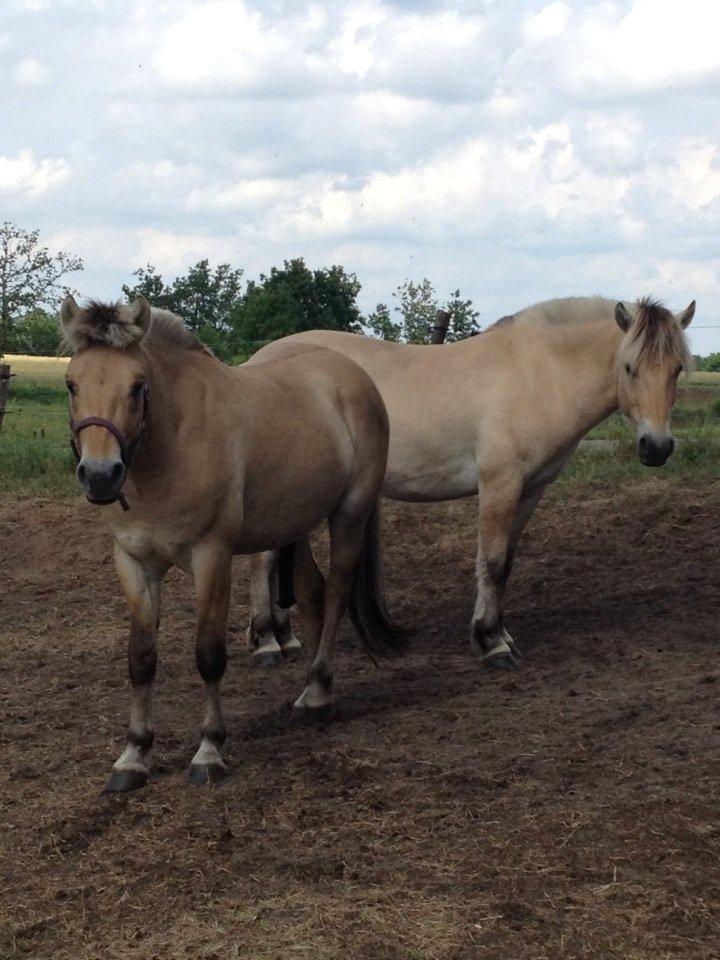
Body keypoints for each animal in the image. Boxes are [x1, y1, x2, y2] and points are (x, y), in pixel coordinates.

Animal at [59, 296, 402, 792]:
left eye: (138, 386)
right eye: (71, 384)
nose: (101, 475)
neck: (171, 447)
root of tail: (354, 378)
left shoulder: (212, 556)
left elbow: (208, 654)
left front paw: (209, 750)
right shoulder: (134, 562)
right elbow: (141, 656)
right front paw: (133, 756)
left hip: (349, 515)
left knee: (336, 592)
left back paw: (318, 691)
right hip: (295, 525)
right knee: (312, 593)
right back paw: (311, 691)